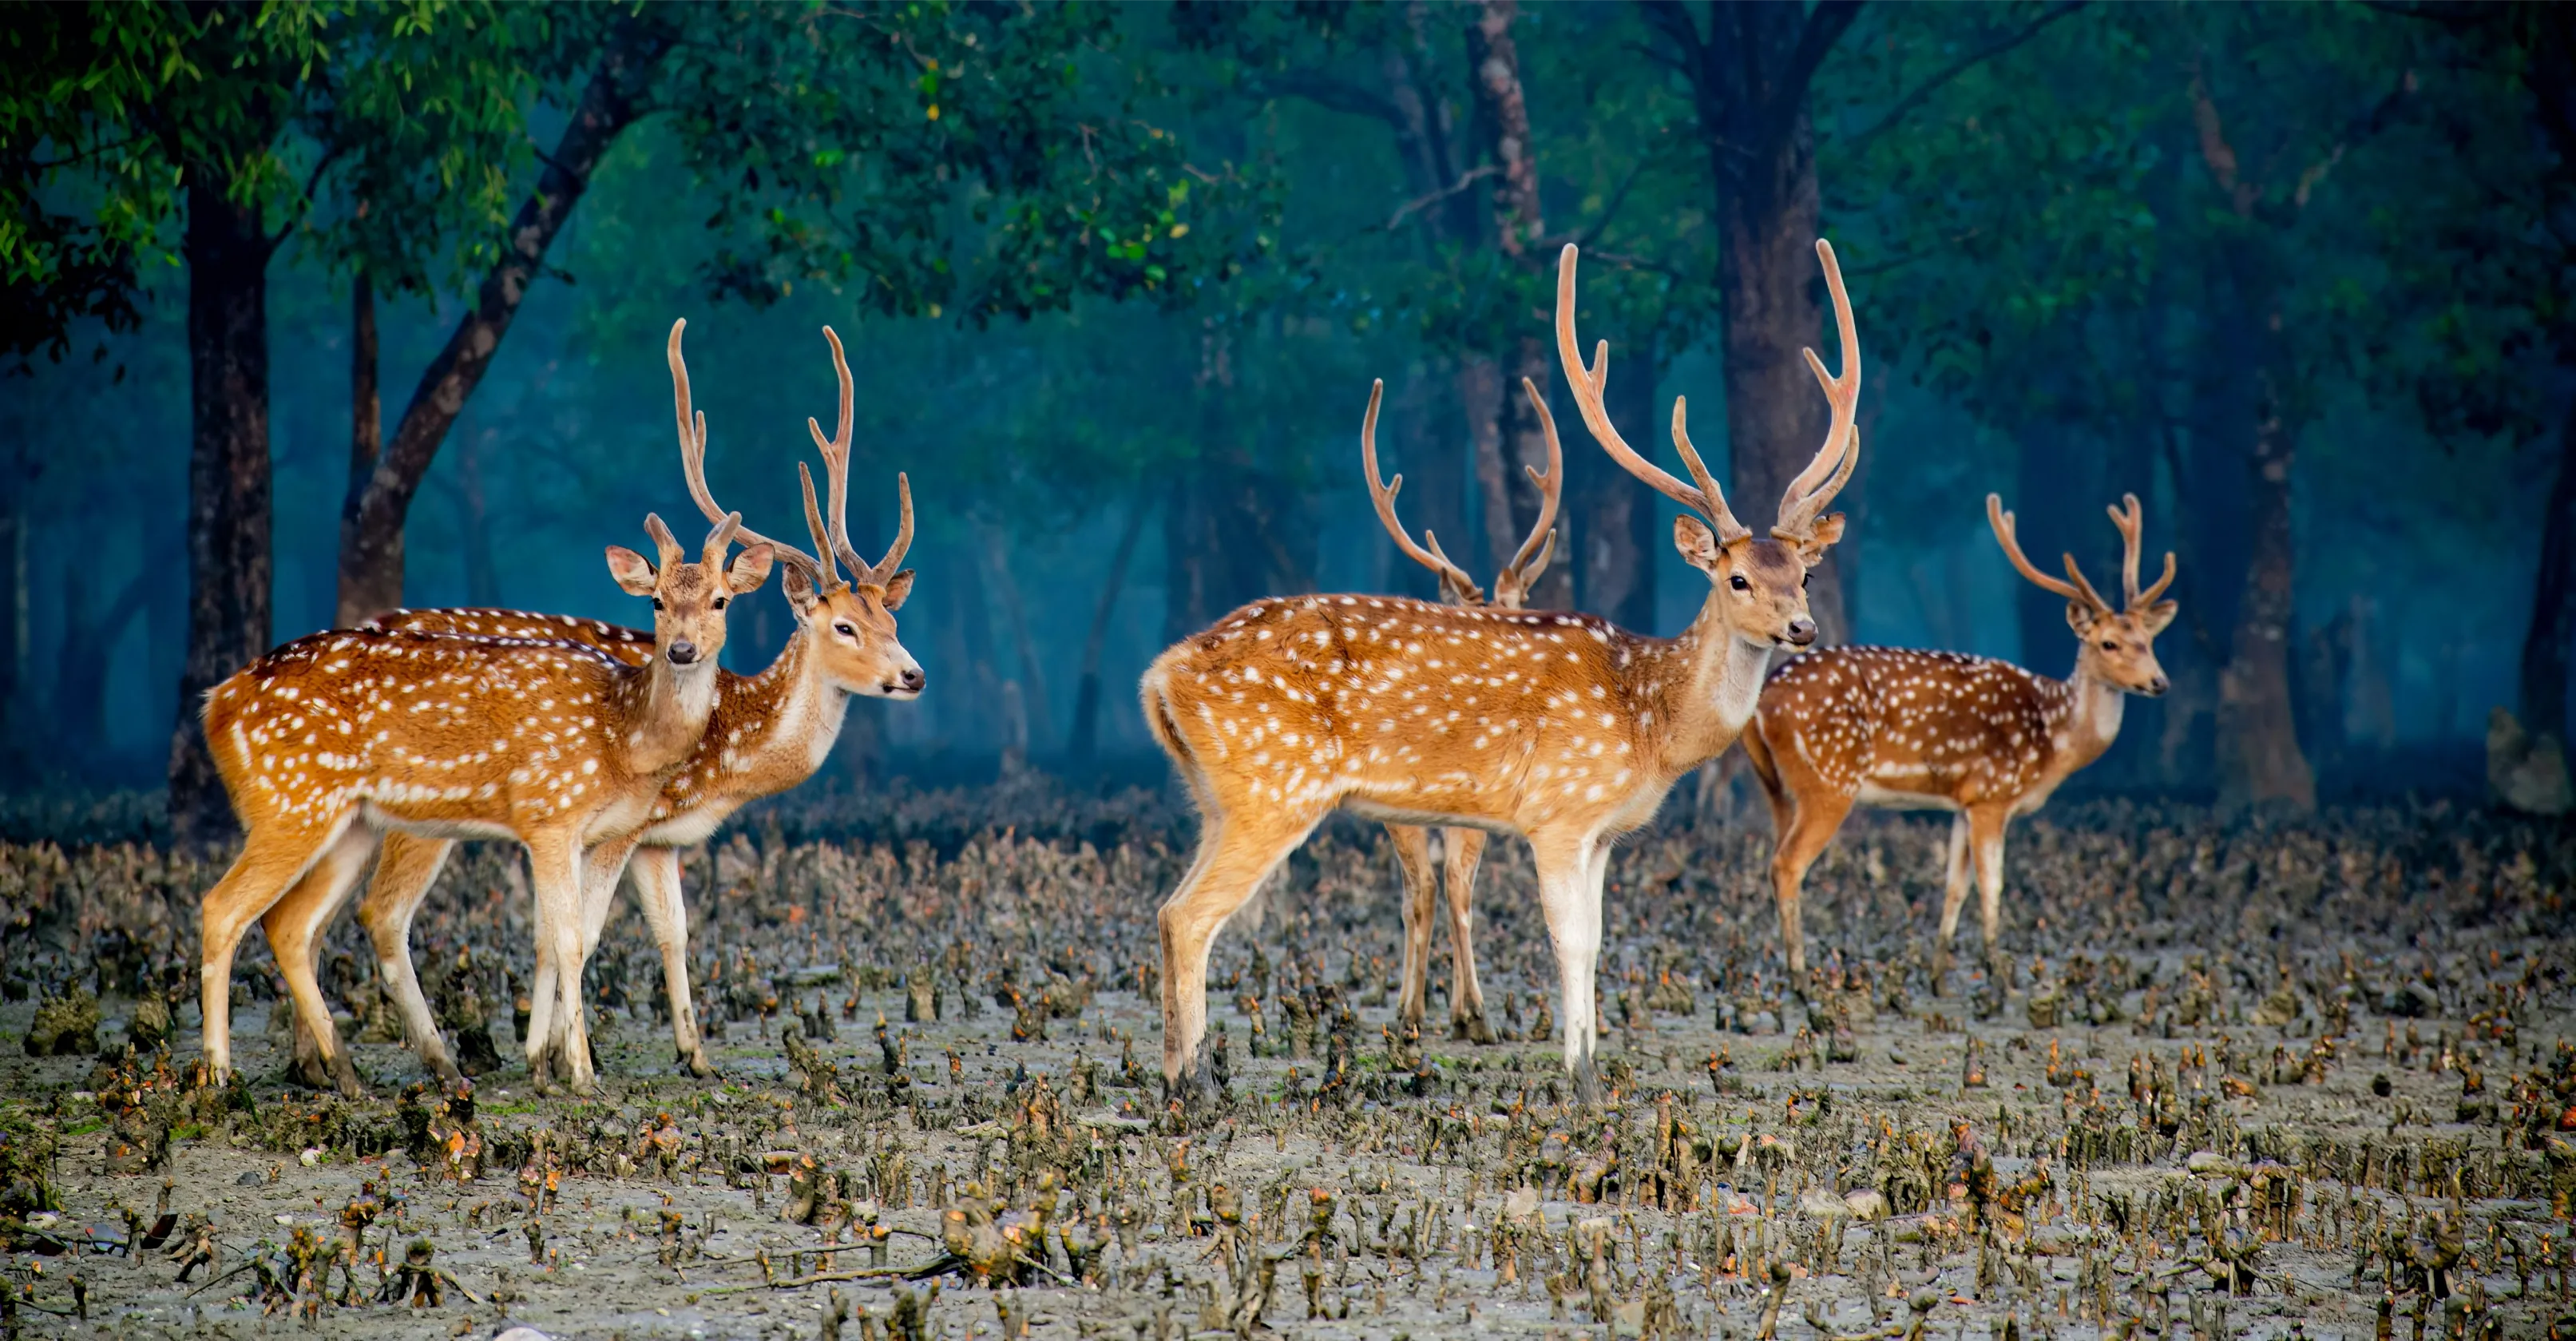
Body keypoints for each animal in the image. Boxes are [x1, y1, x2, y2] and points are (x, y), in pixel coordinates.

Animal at [198, 498, 772, 1093]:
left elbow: (571, 935)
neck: (624, 735)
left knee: (291, 923)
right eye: (656, 599)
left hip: (349, 823)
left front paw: (555, 1063)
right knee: (227, 907)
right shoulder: (551, 814)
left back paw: (350, 1073)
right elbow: (569, 937)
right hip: (291, 801)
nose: (682, 650)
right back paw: (219, 1071)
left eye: (720, 599)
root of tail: (215, 703)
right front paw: (580, 1072)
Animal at [269, 324, 917, 1088]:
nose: (913, 674)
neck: (728, 755)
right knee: (381, 913)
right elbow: (580, 929)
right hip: (419, 815)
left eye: (892, 620)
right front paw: (550, 1054)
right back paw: (428, 1059)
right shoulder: (620, 825)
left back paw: (311, 1064)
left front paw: (693, 1054)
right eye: (844, 626)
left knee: (312, 916)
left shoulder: (659, 839)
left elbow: (671, 930)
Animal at [1360, 371, 1556, 1041]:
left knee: (1430, 886)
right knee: (1438, 885)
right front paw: (1457, 1009)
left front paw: (1449, 1007)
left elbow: (1437, 888)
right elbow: (1445, 887)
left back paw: (1426, 1010)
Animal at [1741, 487, 2184, 979]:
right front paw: (1999, 973)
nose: (2159, 682)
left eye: (2148, 639)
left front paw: (1939, 976)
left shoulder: (1962, 801)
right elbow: (1993, 885)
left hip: (1776, 785)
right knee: (1787, 864)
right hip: (1828, 781)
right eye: (2108, 643)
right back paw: (1801, 976)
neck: (2053, 738)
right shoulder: (1993, 794)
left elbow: (1956, 885)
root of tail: (1764, 700)